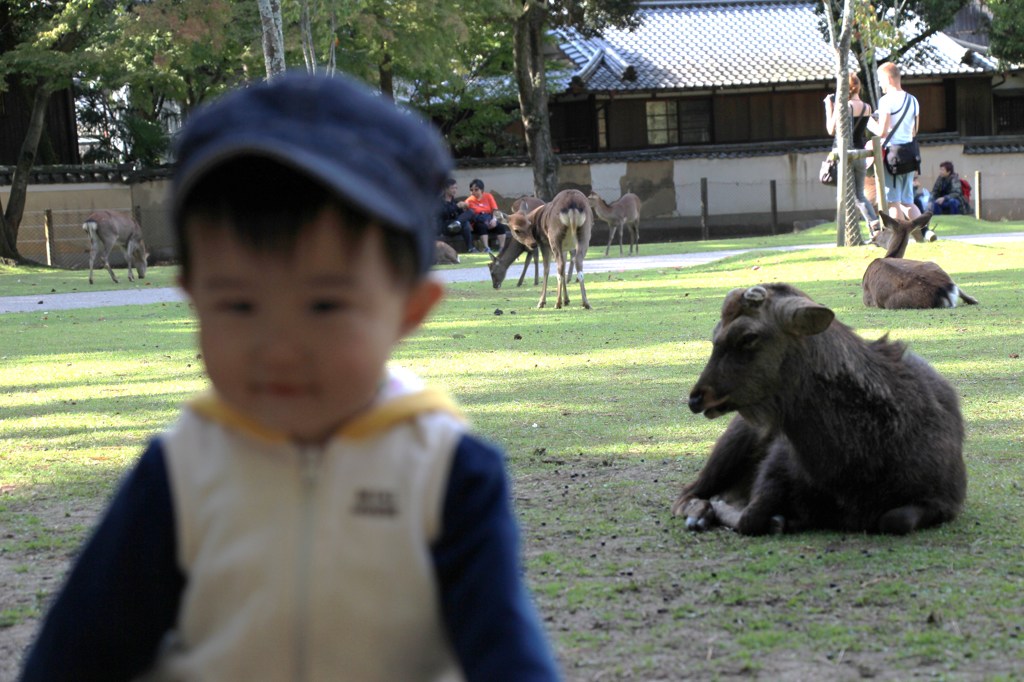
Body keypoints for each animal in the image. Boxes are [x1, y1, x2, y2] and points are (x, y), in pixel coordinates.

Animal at [671, 282, 966, 536]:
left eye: (748, 337)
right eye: (715, 334)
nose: (695, 398)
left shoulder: (948, 496)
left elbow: (896, 519)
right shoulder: (778, 461)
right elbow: (750, 517)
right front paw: (729, 508)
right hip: (735, 439)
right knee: (686, 493)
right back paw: (700, 513)